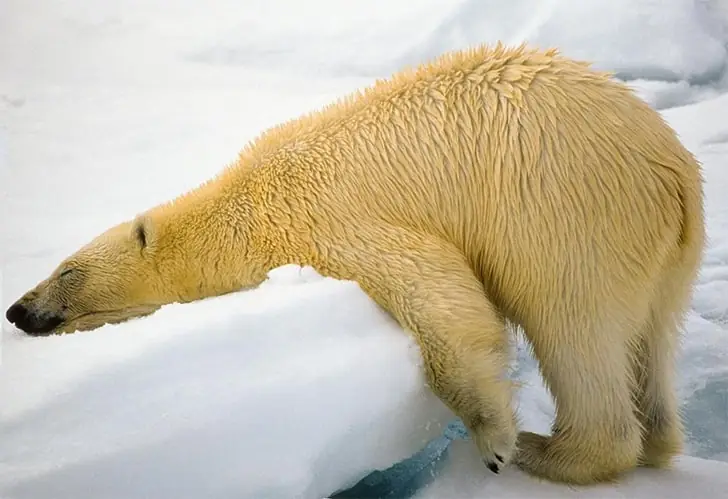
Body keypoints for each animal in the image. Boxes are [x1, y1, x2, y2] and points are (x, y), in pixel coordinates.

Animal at [6, 43, 705, 485]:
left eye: (65, 272)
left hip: (568, 215)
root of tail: (673, 170)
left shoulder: (328, 221)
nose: (17, 310)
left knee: (574, 325)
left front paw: (496, 438)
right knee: (652, 335)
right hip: (669, 252)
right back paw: (656, 438)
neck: (245, 203)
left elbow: (440, 298)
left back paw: (551, 452)